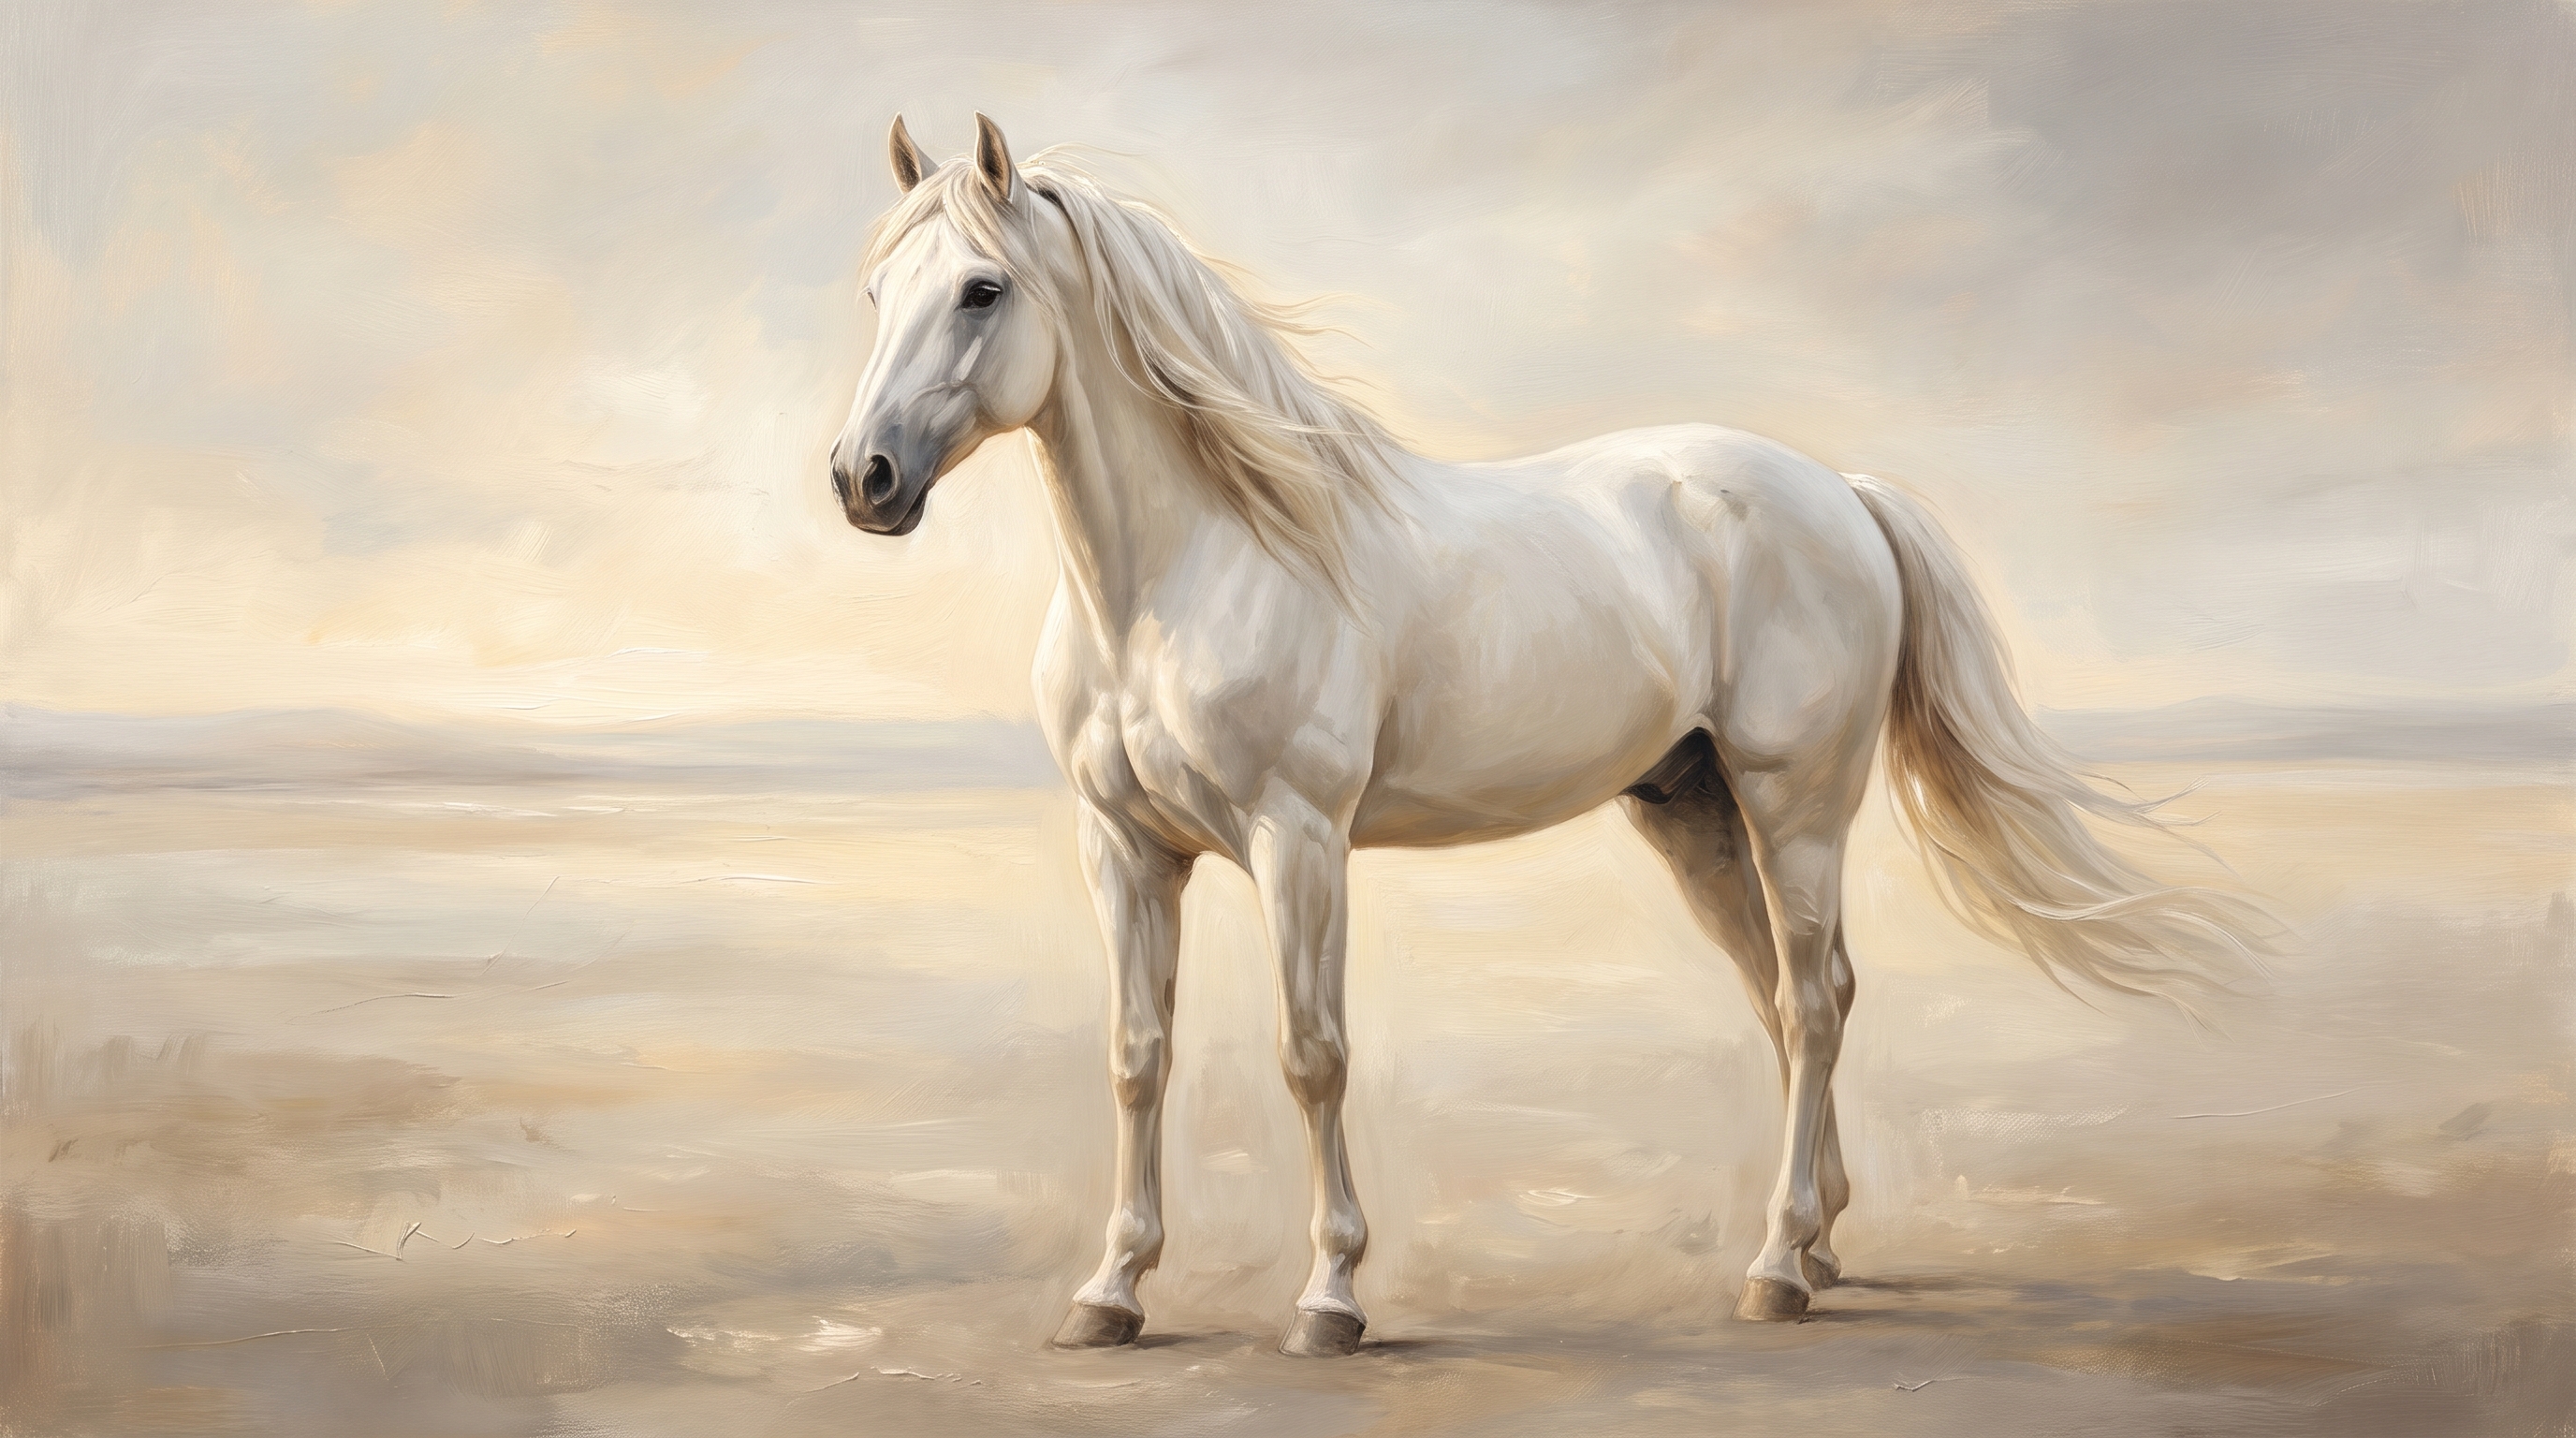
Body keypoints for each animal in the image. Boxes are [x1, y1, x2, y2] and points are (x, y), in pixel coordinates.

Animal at [827, 114, 2263, 1356]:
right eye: (877, 293)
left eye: (981, 291)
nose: (861, 479)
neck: (1193, 570)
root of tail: (1839, 492)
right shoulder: (1123, 848)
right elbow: (1137, 1059)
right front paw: (1112, 1292)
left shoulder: (1300, 842)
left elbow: (1311, 1056)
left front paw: (1331, 1299)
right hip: (1694, 817)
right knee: (1795, 998)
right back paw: (1818, 1248)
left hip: (1795, 808)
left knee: (1811, 1001)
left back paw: (1774, 1270)